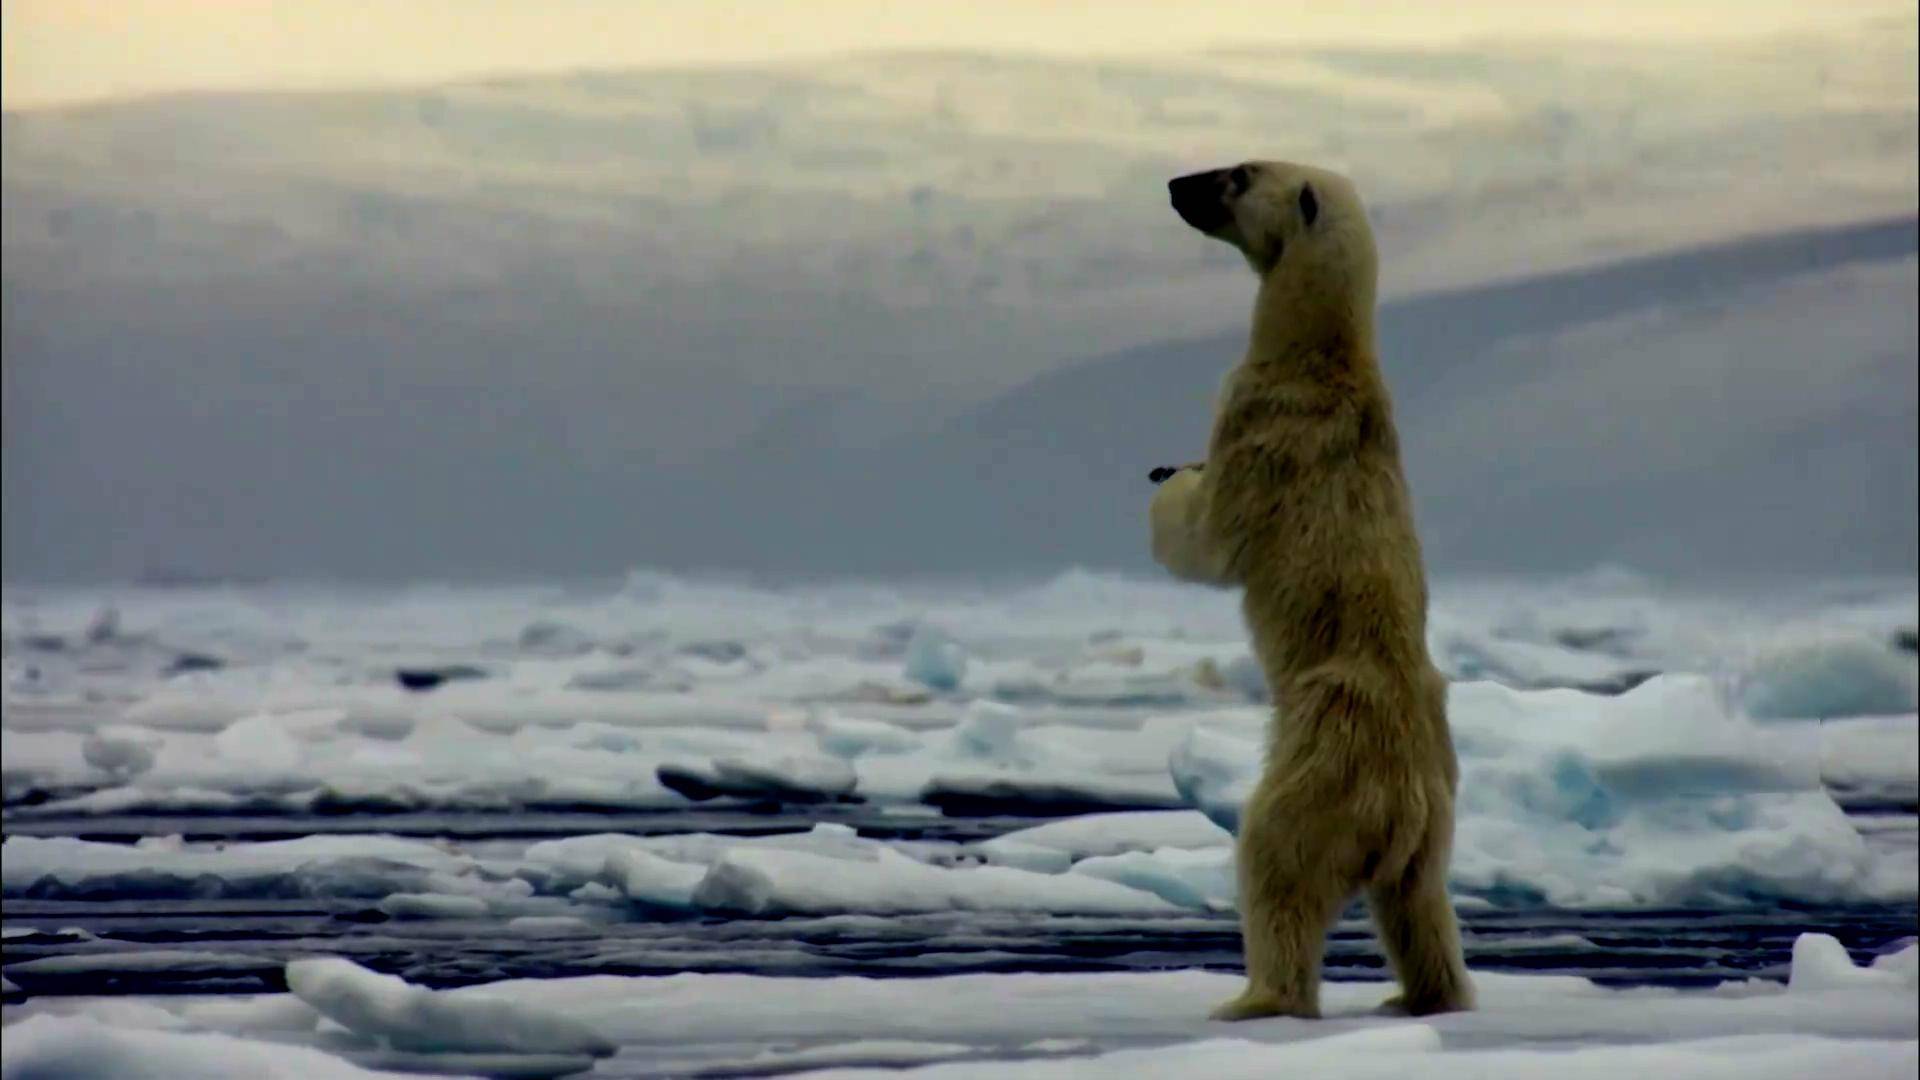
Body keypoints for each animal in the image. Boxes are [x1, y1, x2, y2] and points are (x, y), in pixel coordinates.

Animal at [1148, 160, 1474, 1021]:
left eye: (1234, 174)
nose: (1175, 182)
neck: (1325, 353)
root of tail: (1402, 802)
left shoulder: (1261, 422)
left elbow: (1212, 537)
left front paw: (1169, 480)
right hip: (1437, 810)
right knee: (1420, 904)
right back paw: (1424, 996)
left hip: (1325, 757)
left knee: (1275, 858)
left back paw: (1257, 997)